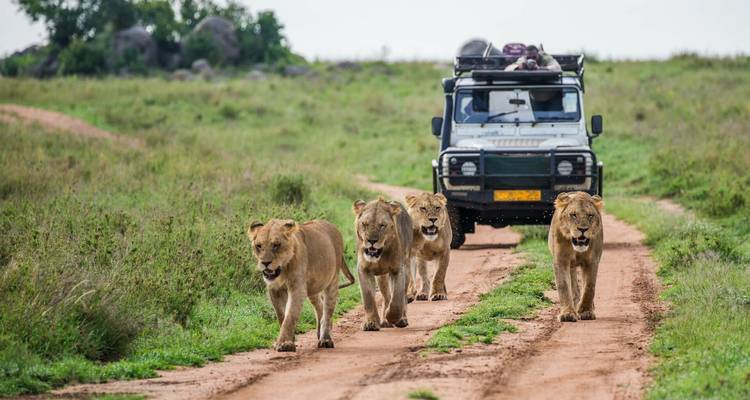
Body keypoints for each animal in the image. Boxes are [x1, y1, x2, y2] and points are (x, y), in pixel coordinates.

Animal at [247, 219, 355, 352]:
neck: (283, 270)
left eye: (276, 245)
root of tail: (333, 226)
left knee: (327, 311)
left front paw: (284, 343)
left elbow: (290, 316)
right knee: (319, 306)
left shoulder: (298, 289)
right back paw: (320, 333)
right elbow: (281, 316)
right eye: (259, 246)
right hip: (312, 287)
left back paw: (325, 339)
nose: (265, 263)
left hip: (332, 281)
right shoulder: (274, 290)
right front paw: (289, 340)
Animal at [352, 197, 413, 331]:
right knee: (386, 296)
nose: (371, 241)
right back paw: (385, 321)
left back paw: (401, 319)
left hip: (406, 268)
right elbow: (368, 298)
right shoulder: (363, 269)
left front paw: (393, 317)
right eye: (365, 224)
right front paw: (371, 323)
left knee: (403, 296)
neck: (380, 255)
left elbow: (397, 299)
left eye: (382, 226)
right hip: (382, 277)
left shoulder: (397, 270)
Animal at [548, 192, 604, 322]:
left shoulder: (592, 261)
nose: (583, 229)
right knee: (573, 284)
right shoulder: (561, 260)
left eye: (590, 215)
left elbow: (589, 287)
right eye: (573, 215)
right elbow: (563, 285)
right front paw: (567, 313)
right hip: (571, 266)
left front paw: (586, 311)